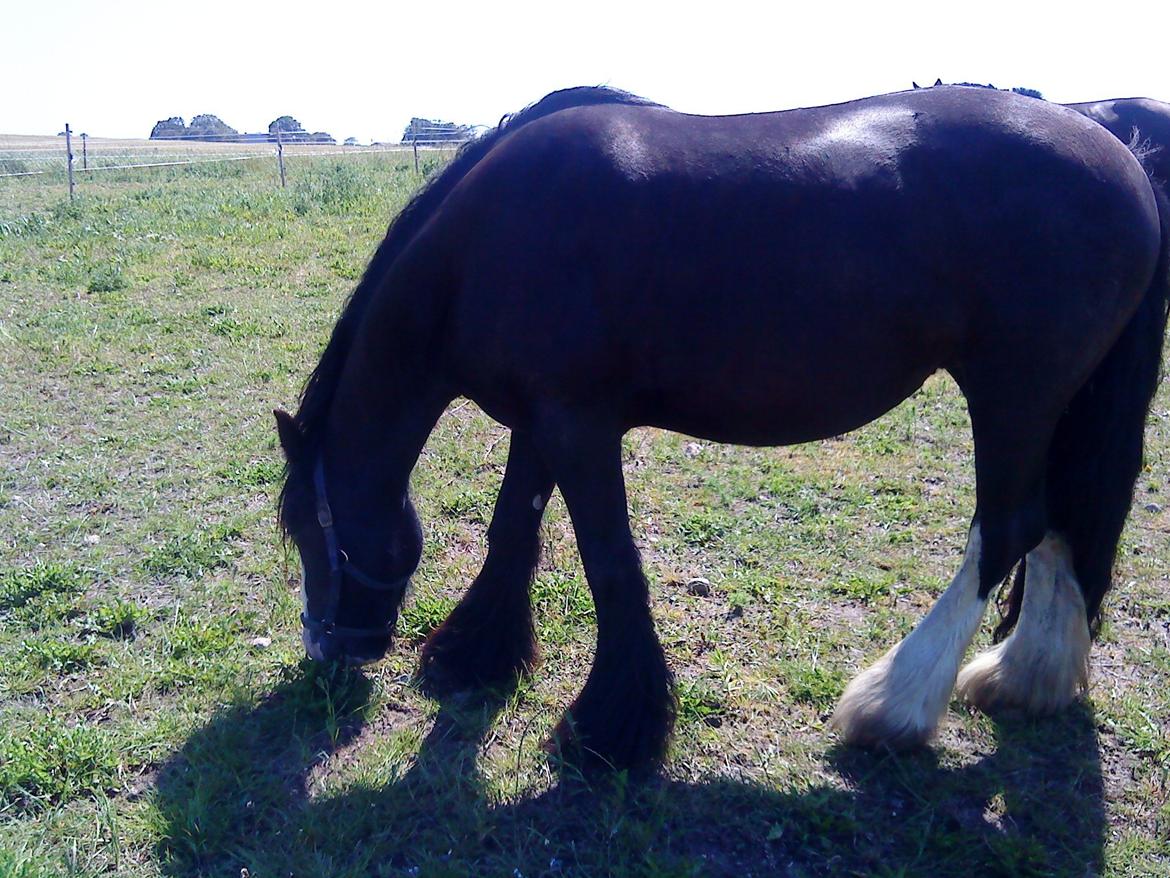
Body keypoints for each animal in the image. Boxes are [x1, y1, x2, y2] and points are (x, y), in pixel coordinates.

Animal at [276, 82, 1170, 767]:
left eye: (306, 530)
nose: (332, 649)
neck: (488, 239)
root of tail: (1119, 151)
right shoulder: (541, 418)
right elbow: (513, 532)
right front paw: (476, 657)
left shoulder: (578, 425)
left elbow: (610, 563)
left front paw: (613, 729)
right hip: (1060, 402)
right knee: (1063, 521)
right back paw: (1023, 678)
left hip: (1013, 394)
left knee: (1009, 528)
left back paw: (896, 705)